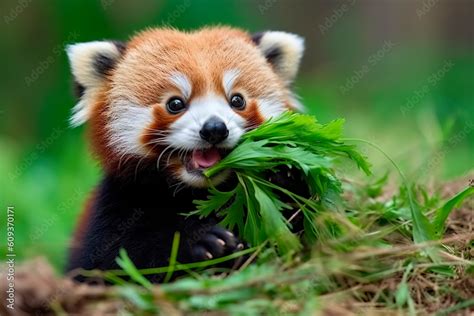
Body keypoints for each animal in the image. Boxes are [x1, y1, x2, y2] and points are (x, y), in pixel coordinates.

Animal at [65, 25, 304, 282]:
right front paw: (203, 243)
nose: (214, 129)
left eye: (237, 100)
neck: (198, 193)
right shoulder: (117, 204)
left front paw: (285, 174)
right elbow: (116, 260)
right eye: (175, 103)